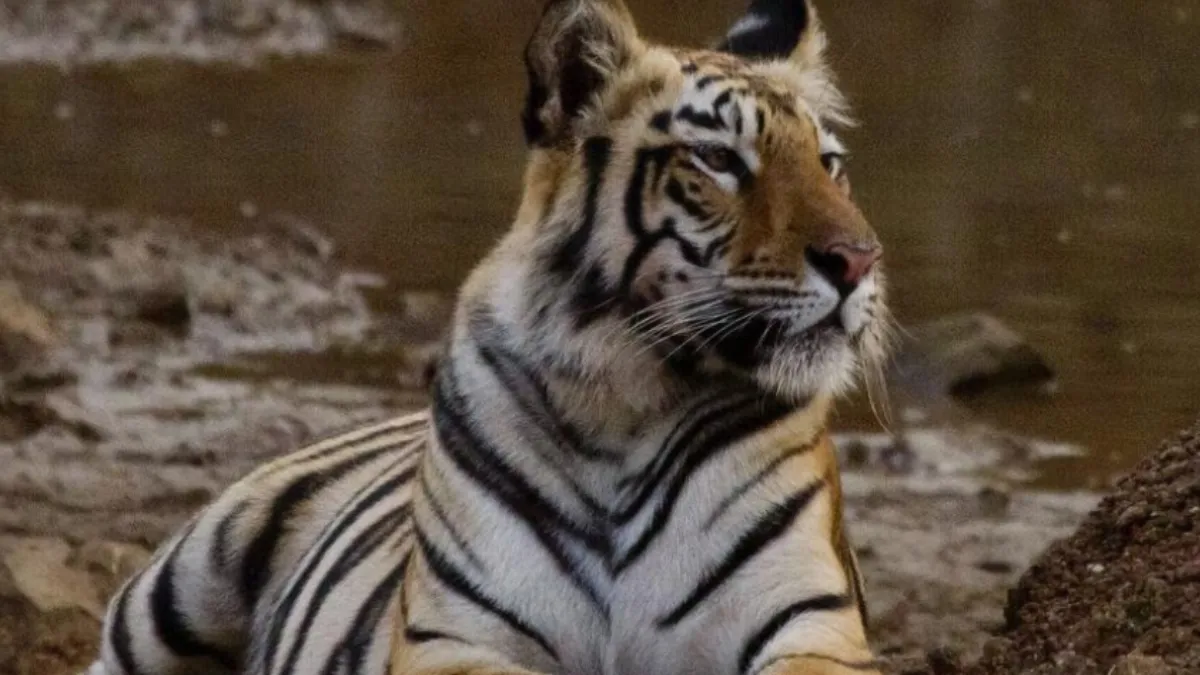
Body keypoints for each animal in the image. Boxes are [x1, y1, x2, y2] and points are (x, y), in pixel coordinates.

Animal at [85, 1, 891, 675]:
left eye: (830, 164)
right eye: (720, 160)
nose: (858, 260)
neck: (631, 393)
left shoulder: (810, 623)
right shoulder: (456, 635)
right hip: (181, 585)